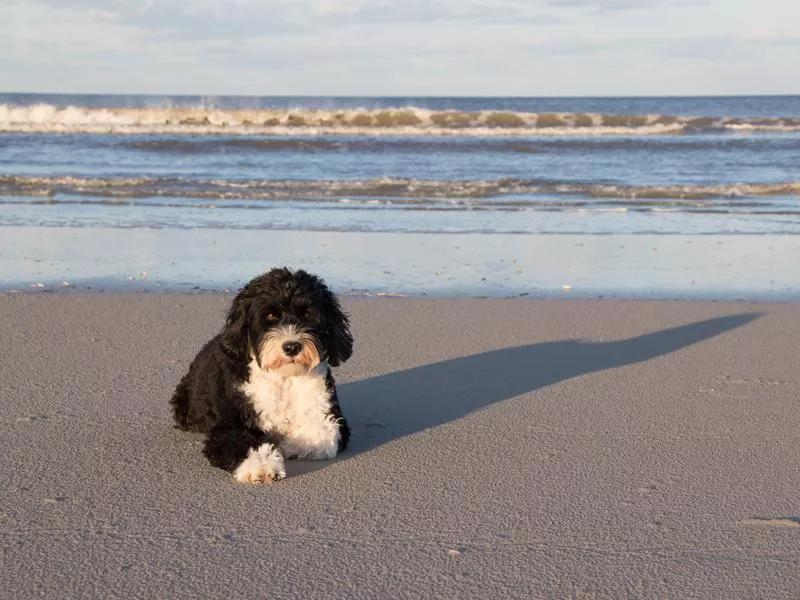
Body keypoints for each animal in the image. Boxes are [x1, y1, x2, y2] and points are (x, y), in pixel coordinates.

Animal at [170, 268, 352, 482]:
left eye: (307, 314)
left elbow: (324, 432)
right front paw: (261, 465)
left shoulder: (329, 413)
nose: (292, 346)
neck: (284, 378)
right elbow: (242, 443)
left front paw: (289, 444)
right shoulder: (230, 426)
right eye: (270, 316)